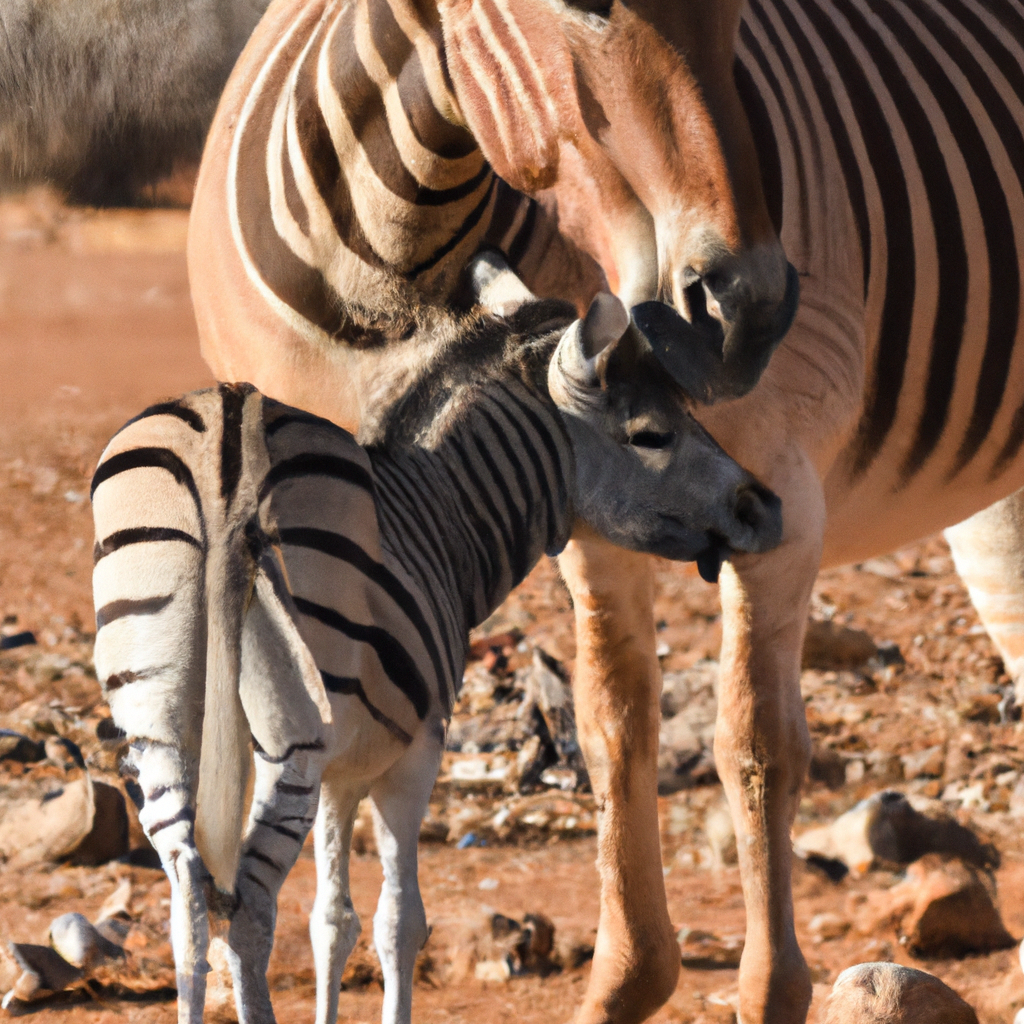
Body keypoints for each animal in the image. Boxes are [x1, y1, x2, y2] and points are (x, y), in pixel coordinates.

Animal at [94, 264, 782, 1024]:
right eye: (653, 434)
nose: (767, 508)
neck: (440, 514)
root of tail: (231, 432)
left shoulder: (342, 772)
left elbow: (332, 921)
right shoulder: (416, 750)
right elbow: (399, 921)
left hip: (158, 723)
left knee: (188, 899)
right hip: (291, 735)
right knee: (246, 912)